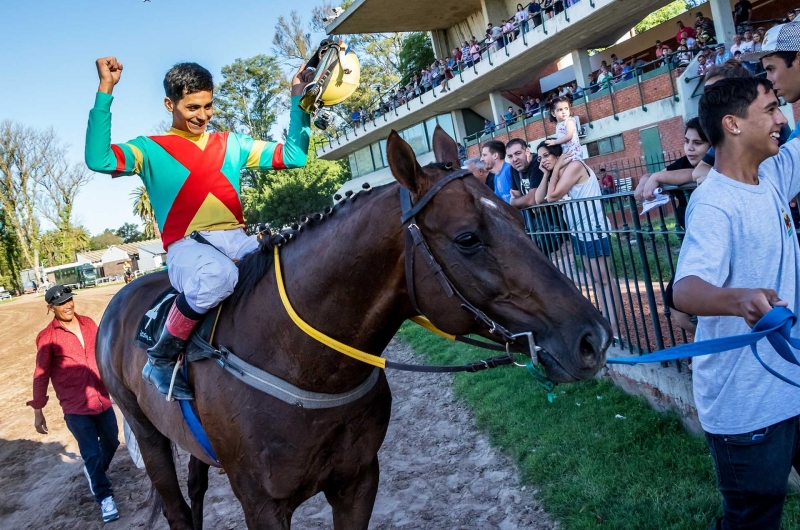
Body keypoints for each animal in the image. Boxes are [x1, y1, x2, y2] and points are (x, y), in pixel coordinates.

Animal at [97, 128, 612, 528]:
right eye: (468, 238)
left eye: (518, 216)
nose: (593, 338)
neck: (300, 364)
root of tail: (120, 298)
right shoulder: (263, 505)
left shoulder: (358, 481)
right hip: (147, 432)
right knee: (177, 508)